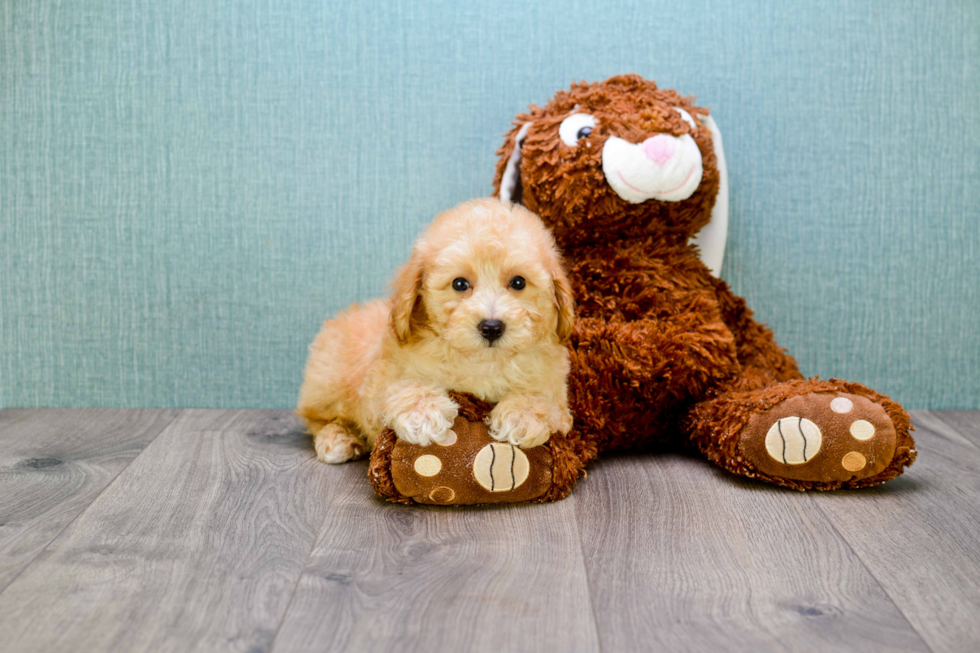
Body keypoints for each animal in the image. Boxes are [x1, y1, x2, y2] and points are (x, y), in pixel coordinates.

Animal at [298, 197, 576, 464]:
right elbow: (397, 386)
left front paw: (522, 415)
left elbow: (544, 398)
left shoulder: (557, 392)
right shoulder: (380, 376)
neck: (482, 363)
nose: (491, 327)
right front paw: (423, 411)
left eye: (518, 282)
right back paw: (339, 439)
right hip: (328, 379)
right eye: (459, 284)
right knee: (318, 418)